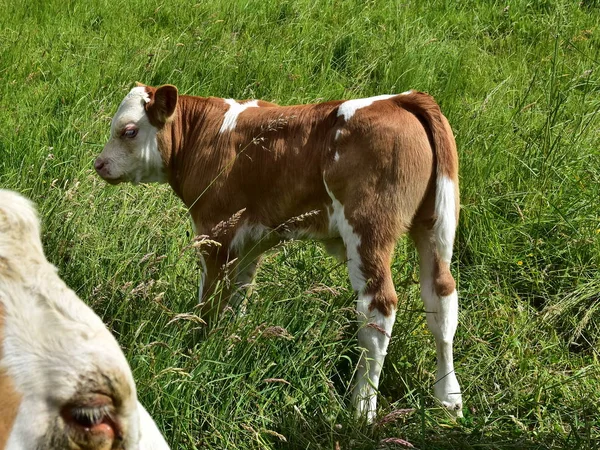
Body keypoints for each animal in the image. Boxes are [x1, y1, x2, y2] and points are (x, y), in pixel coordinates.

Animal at [95, 84, 464, 422]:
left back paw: (362, 408)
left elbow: (210, 301)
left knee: (378, 309)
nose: (99, 164)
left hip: (369, 231)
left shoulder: (215, 233)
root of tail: (400, 98)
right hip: (435, 226)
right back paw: (448, 398)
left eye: (129, 130)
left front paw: (197, 347)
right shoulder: (250, 241)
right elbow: (239, 296)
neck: (206, 136)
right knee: (441, 297)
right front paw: (230, 341)